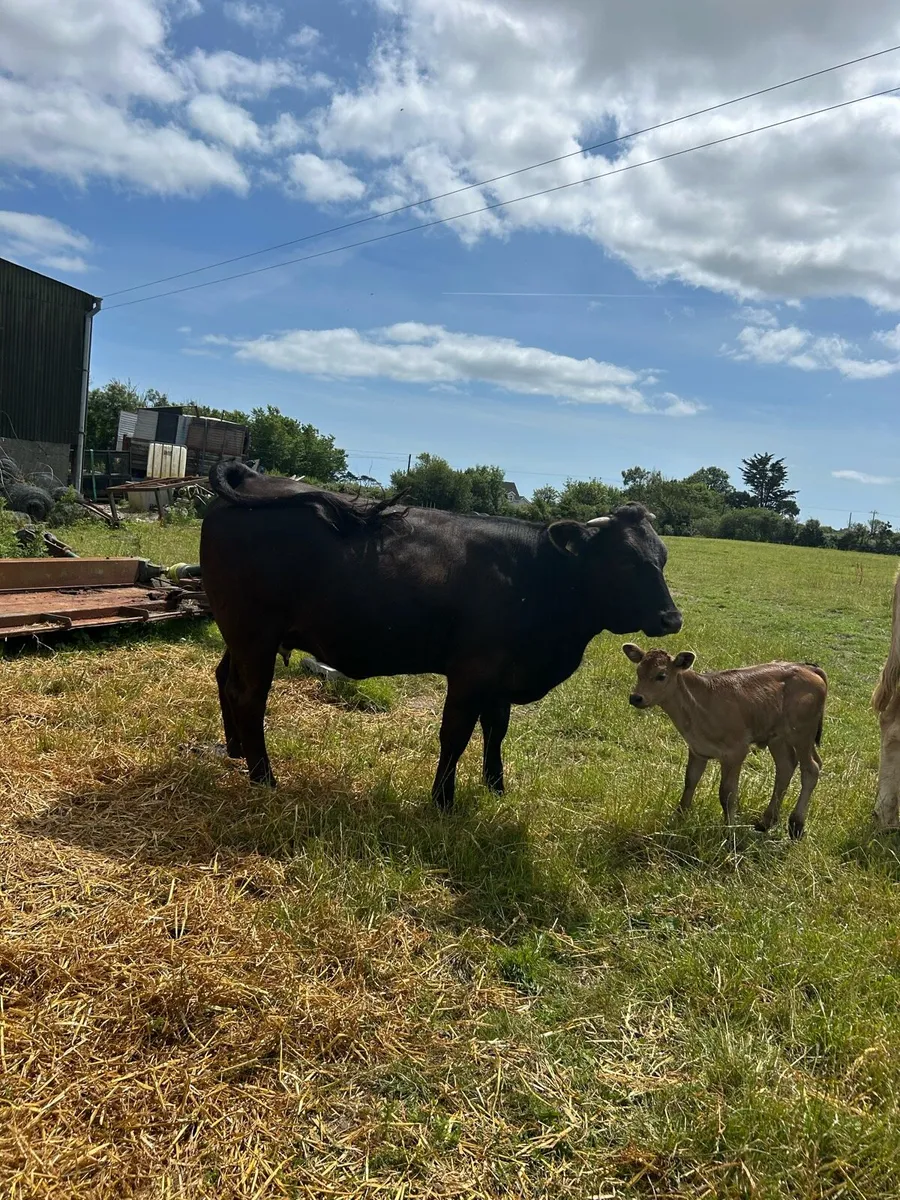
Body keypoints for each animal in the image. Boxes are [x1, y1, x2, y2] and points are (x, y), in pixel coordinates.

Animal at [199, 461, 683, 809]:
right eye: (626, 561)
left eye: (662, 557)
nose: (672, 619)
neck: (536, 575)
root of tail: (253, 476)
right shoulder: (472, 671)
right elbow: (455, 734)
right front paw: (443, 801)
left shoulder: (501, 677)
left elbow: (496, 729)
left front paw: (495, 787)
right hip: (254, 633)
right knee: (250, 697)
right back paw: (264, 778)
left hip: (240, 634)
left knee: (226, 680)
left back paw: (236, 751)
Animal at [622, 645, 827, 838]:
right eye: (638, 671)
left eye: (661, 675)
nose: (636, 697)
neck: (699, 704)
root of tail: (808, 668)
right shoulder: (697, 749)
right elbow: (690, 781)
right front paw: (678, 818)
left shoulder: (736, 751)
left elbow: (727, 794)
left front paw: (729, 832)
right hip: (778, 737)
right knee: (786, 766)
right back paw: (765, 822)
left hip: (802, 733)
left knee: (811, 769)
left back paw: (796, 825)